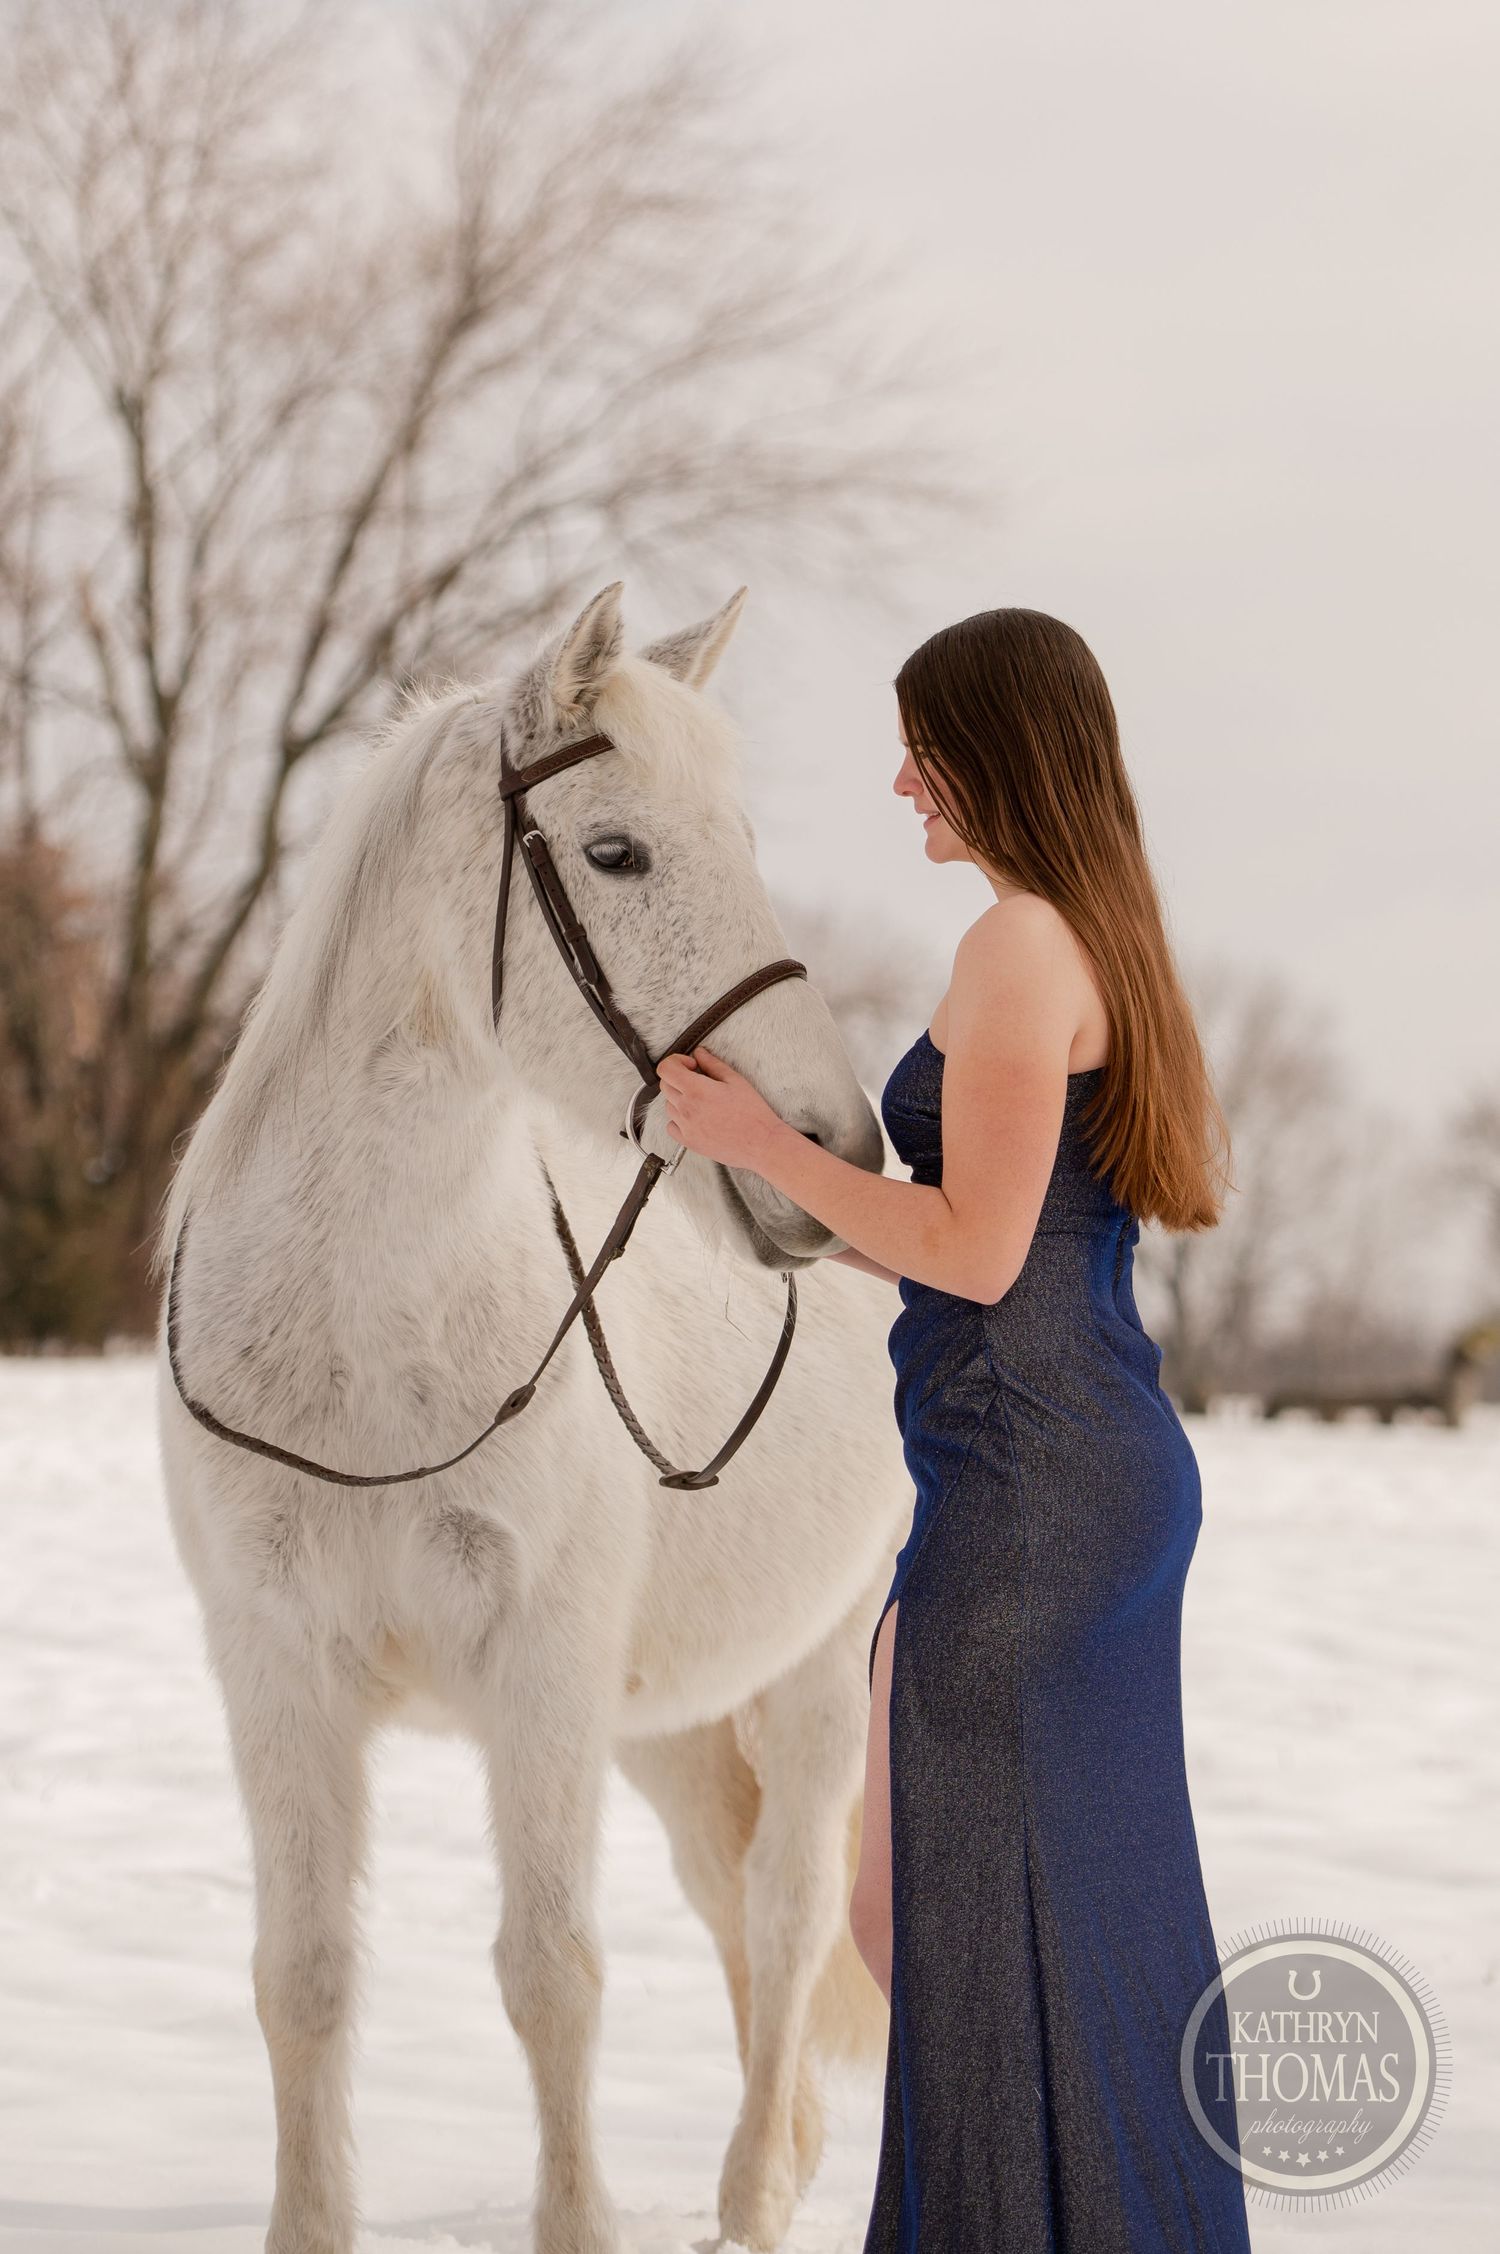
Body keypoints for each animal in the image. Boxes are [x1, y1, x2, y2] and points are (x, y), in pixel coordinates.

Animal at [151, 579, 910, 2254]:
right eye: (617, 851)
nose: (836, 1155)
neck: (367, 1337)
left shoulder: (539, 1671)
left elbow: (552, 1974)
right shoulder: (275, 1668)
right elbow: (303, 1979)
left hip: (818, 1675)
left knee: (786, 1911)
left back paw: (756, 2195)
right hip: (674, 1727)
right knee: (733, 1904)